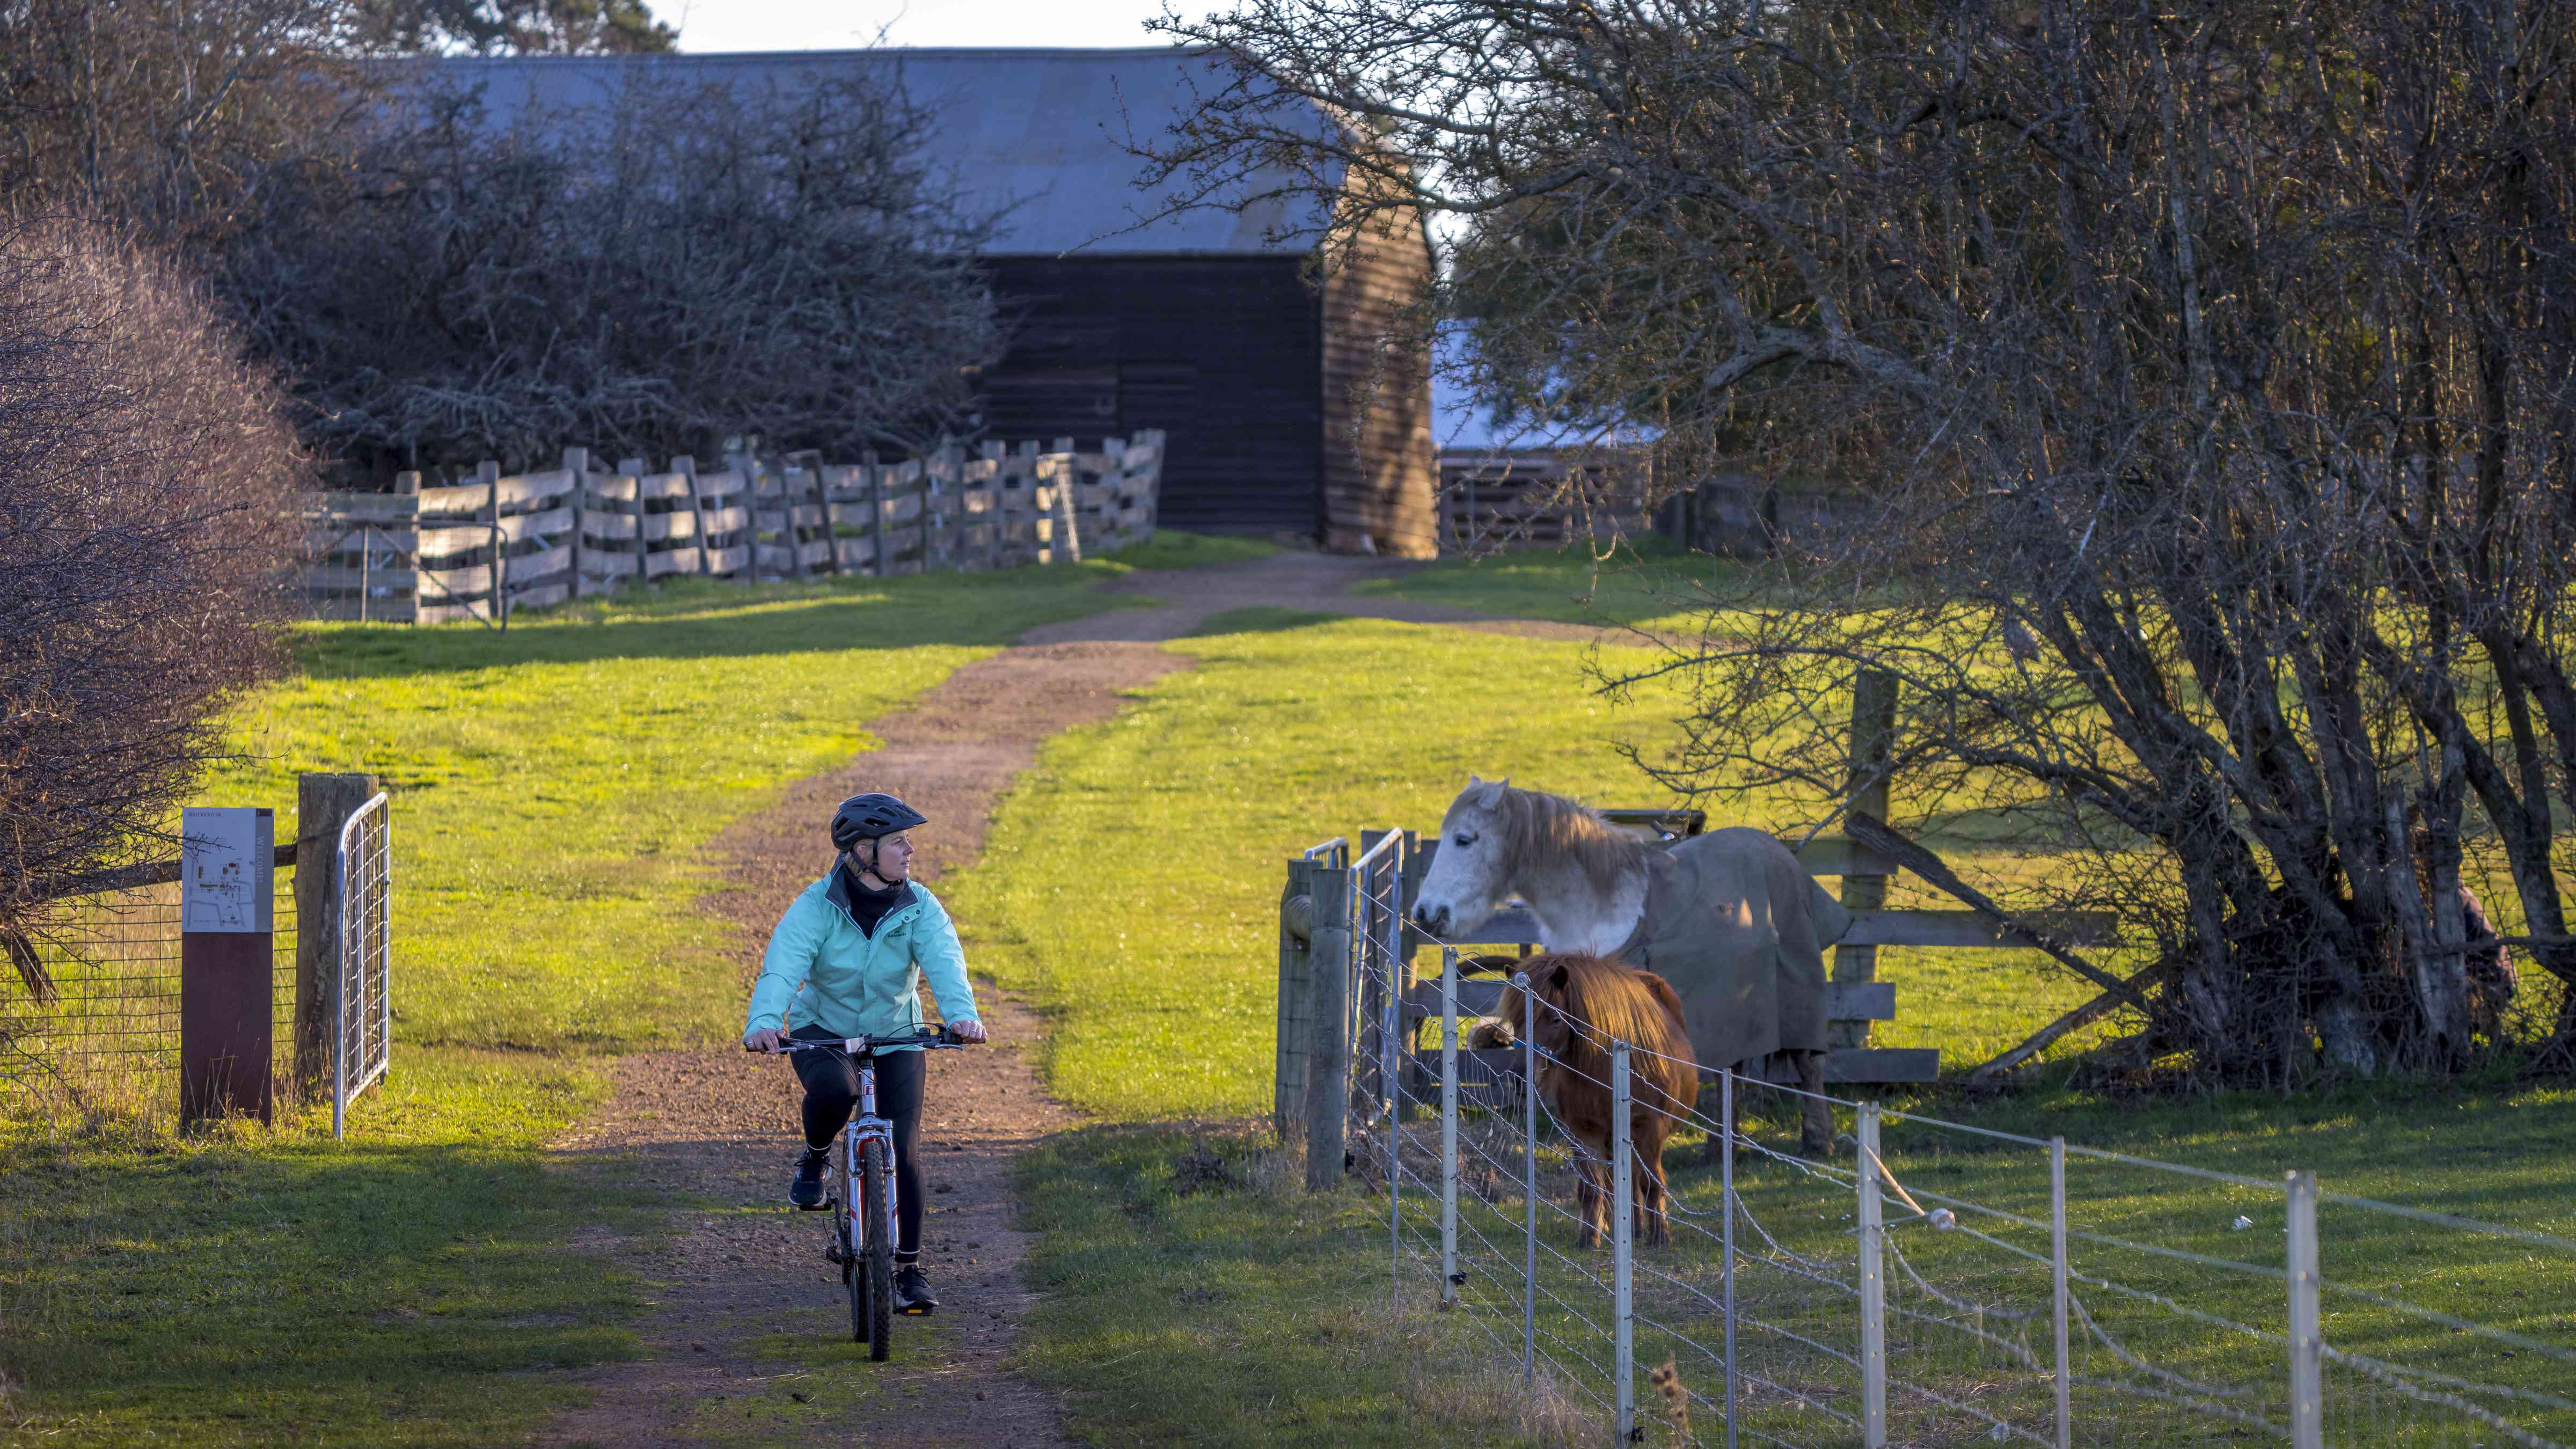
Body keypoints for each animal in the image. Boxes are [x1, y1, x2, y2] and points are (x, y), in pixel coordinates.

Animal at [1411, 773, 1855, 1155]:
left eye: (1464, 840)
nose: (1425, 912)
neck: (1596, 911)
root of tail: (1784, 857)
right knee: (1735, 1071)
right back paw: (1721, 1149)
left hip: (1795, 991)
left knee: (1809, 1064)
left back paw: (1817, 1142)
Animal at [1483, 948, 1700, 1242]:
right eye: (1516, 1021)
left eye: (1555, 1019)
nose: (1520, 1079)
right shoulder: (1584, 1132)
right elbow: (1590, 1188)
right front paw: (1589, 1237)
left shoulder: (1650, 1129)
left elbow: (1652, 1184)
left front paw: (1660, 1236)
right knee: (1616, 1183)